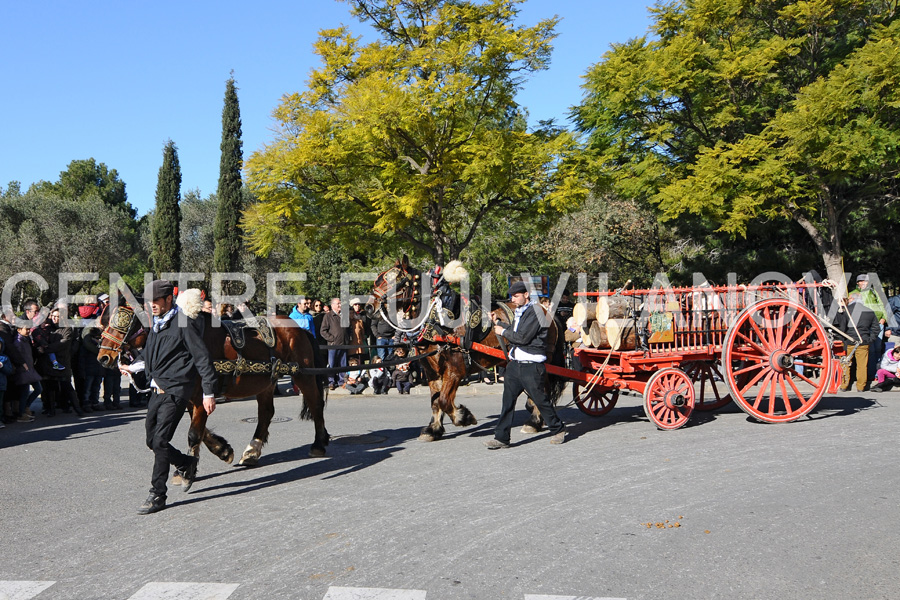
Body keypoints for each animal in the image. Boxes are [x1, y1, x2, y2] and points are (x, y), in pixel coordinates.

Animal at [96, 292, 328, 468]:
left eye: (123, 321)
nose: (103, 357)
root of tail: (300, 329)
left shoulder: (200, 396)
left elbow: (194, 432)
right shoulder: (191, 397)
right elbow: (199, 431)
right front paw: (222, 450)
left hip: (303, 375)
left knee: (315, 404)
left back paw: (318, 443)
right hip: (266, 382)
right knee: (266, 413)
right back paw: (252, 451)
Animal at [364, 255, 564, 442]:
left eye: (394, 282)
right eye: (377, 281)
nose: (368, 307)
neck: (437, 321)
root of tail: (547, 311)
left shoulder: (455, 370)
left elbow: (444, 400)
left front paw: (463, 416)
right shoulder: (431, 371)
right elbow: (435, 401)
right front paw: (433, 430)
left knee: (542, 389)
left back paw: (534, 422)